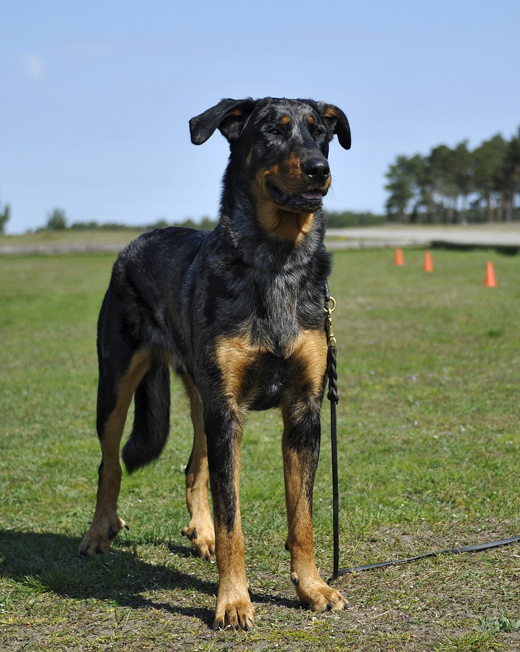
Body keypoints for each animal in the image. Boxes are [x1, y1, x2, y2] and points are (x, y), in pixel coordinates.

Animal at [79, 98, 352, 632]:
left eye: (321, 133)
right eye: (272, 132)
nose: (319, 169)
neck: (276, 262)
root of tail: (137, 241)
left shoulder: (302, 412)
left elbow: (302, 517)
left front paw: (312, 588)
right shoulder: (228, 412)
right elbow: (234, 523)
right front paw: (233, 602)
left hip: (201, 399)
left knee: (193, 466)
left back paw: (199, 532)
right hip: (119, 385)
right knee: (109, 463)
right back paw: (101, 532)